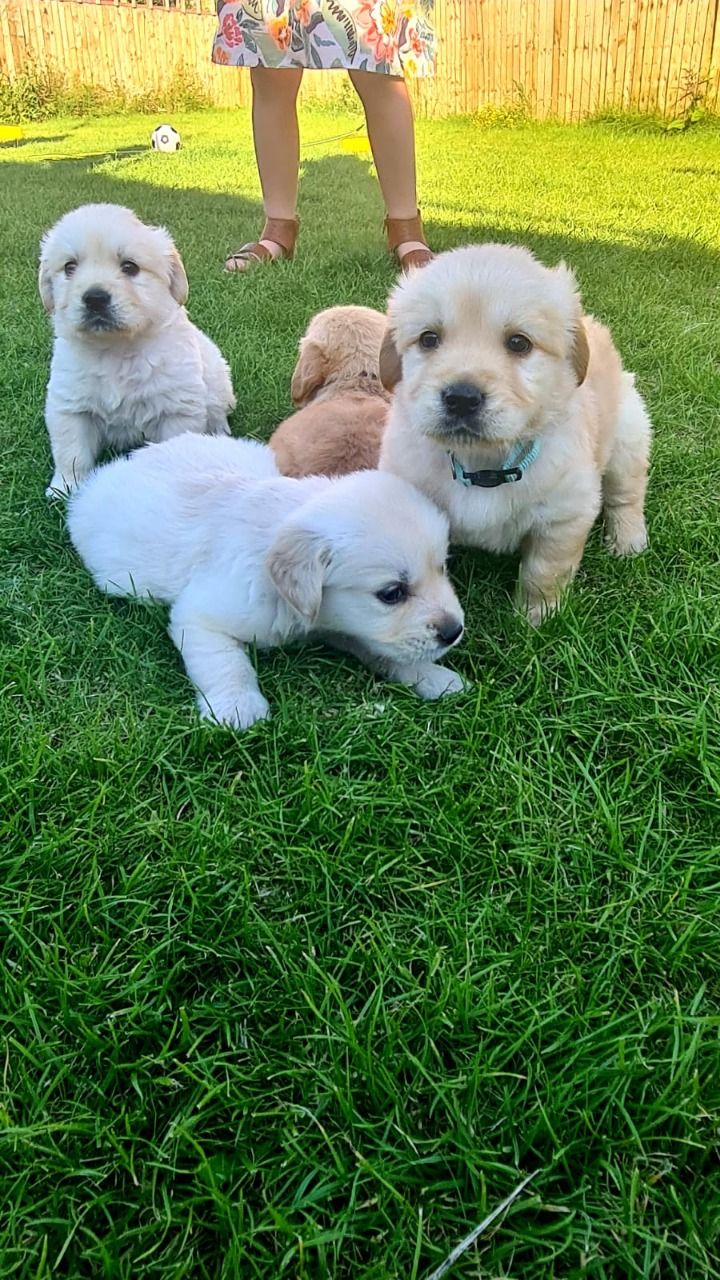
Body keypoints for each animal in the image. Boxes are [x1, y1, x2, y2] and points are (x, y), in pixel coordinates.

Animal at [39, 203, 234, 494]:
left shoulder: (176, 410)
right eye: (69, 267)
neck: (115, 349)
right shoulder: (70, 408)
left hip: (219, 379)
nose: (95, 298)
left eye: (129, 267)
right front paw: (65, 489)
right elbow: (71, 452)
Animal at [64, 432, 461, 727]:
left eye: (442, 568)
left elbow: (383, 651)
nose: (454, 631)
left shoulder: (346, 625)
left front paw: (434, 677)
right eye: (392, 593)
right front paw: (238, 708)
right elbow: (226, 662)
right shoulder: (199, 617)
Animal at [379, 244, 648, 624]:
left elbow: (544, 572)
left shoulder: (564, 515)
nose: (461, 398)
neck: (481, 465)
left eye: (519, 343)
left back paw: (628, 540)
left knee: (627, 496)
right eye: (429, 339)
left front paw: (536, 619)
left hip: (629, 436)